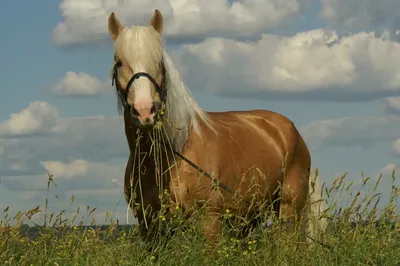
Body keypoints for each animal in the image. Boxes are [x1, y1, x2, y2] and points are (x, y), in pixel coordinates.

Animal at [106, 9, 328, 244]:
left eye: (159, 62)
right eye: (119, 63)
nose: (145, 111)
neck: (172, 154)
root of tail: (290, 130)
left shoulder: (209, 222)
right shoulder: (149, 227)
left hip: (288, 211)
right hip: (248, 219)